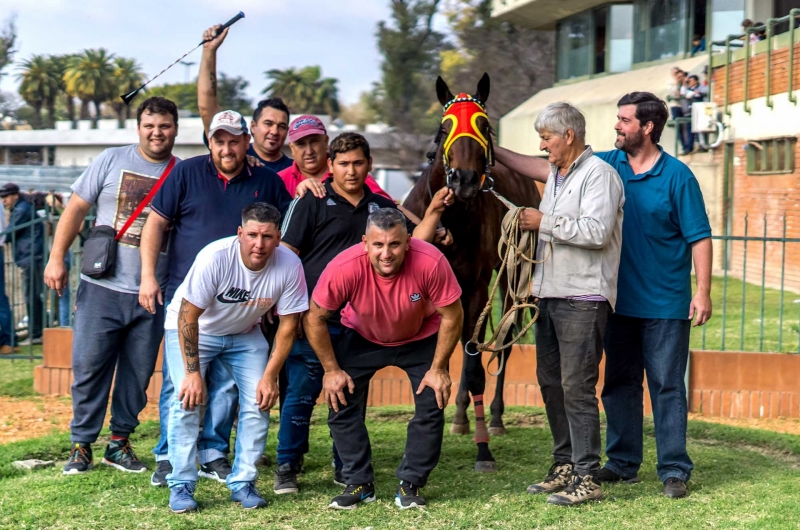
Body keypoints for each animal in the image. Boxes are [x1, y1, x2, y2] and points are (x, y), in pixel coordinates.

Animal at [404, 71, 540, 470]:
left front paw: (483, 449)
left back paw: (492, 419)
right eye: (445, 126)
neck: (452, 219)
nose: (464, 179)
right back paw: (461, 417)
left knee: (499, 341)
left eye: (483, 125)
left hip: (510, 278)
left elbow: (476, 364)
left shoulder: (479, 284)